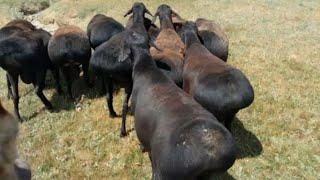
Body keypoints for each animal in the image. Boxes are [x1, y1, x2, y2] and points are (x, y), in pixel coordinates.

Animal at [89, 2, 153, 136]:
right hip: (128, 81)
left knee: (108, 96)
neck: (137, 25)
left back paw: (112, 114)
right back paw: (122, 130)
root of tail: (104, 63)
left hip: (107, 78)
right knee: (124, 106)